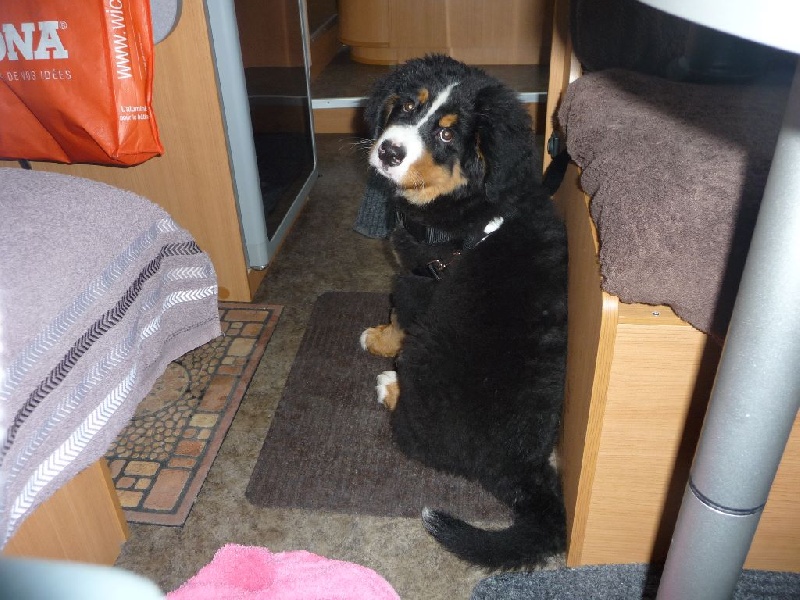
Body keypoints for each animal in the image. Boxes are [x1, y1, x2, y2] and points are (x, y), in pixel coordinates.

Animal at [359, 55, 568, 570]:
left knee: (415, 438)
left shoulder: (418, 280)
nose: (389, 151)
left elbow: (400, 314)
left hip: (426, 366)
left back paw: (391, 387)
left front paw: (380, 340)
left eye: (448, 134)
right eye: (407, 107)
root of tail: (522, 464)